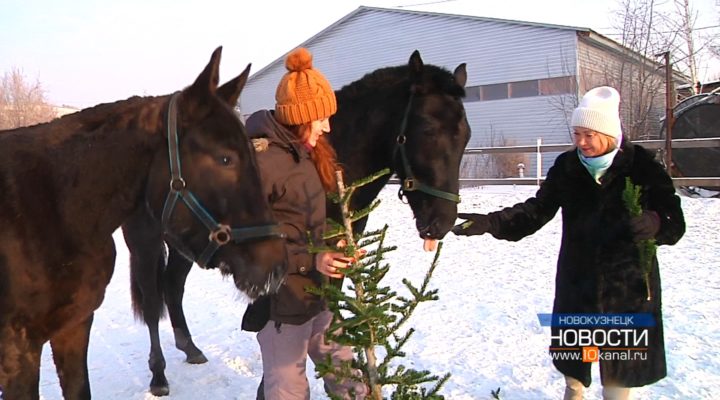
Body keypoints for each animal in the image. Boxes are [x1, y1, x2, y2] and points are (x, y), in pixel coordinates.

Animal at [126, 49, 470, 394]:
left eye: (465, 136)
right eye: (428, 130)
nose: (442, 221)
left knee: (173, 286)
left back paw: (190, 348)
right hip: (146, 246)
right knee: (153, 300)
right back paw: (158, 376)